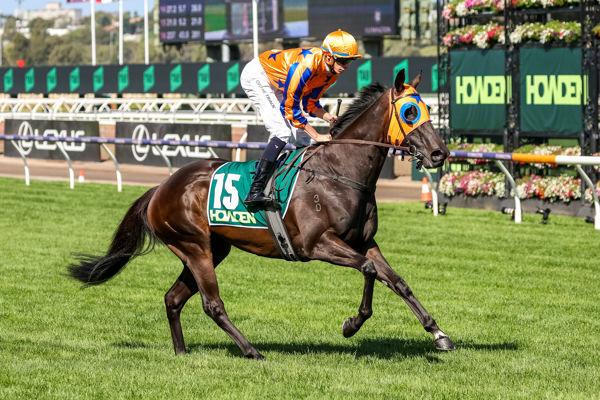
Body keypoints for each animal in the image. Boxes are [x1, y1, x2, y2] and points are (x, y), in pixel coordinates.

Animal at [69, 70, 454, 360]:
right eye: (410, 112)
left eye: (428, 110)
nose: (440, 153)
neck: (338, 170)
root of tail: (161, 188)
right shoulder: (317, 244)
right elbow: (370, 270)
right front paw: (351, 324)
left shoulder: (364, 240)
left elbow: (397, 280)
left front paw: (438, 333)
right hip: (194, 247)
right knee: (212, 304)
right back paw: (251, 350)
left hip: (211, 249)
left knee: (173, 298)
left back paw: (181, 352)